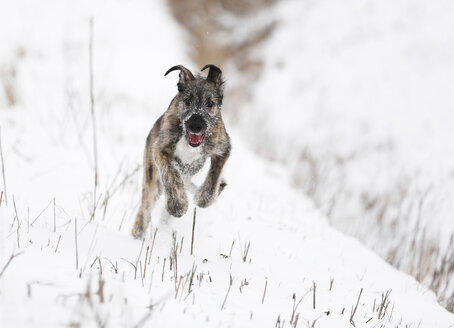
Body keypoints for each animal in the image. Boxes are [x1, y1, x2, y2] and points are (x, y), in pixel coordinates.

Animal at [131, 64, 231, 238]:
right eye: (187, 100)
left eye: (210, 103)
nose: (196, 125)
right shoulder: (161, 150)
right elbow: (171, 174)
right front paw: (178, 206)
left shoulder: (222, 148)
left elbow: (213, 179)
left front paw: (202, 198)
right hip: (152, 180)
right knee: (145, 209)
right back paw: (137, 233)